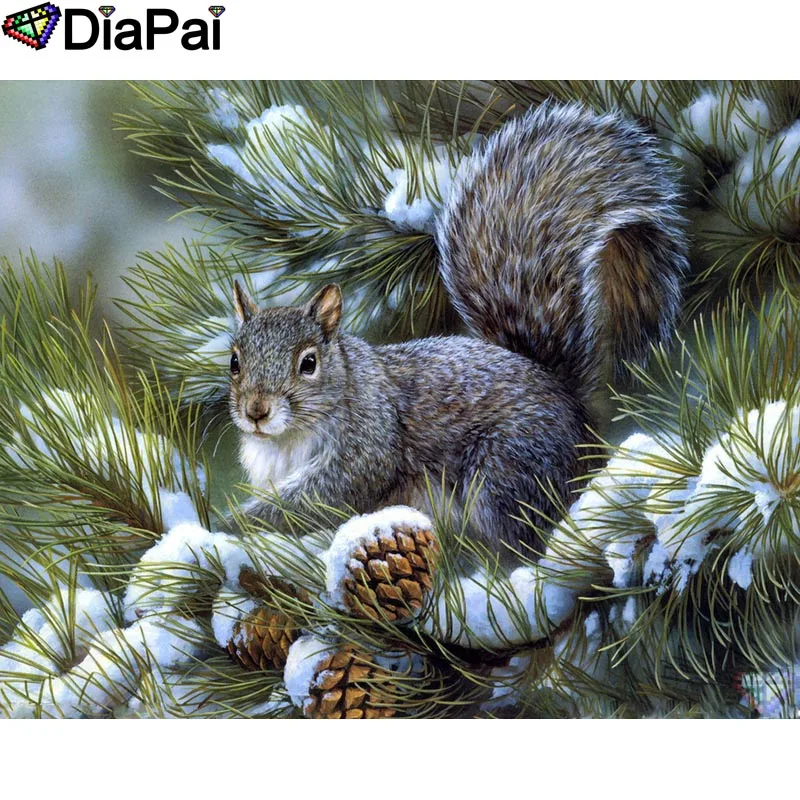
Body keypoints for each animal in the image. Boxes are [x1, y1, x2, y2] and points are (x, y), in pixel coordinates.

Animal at [228, 103, 688, 554]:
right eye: (234, 361)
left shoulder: (367, 443)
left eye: (308, 363)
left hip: (507, 469)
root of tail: (573, 410)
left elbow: (323, 496)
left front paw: (239, 522)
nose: (256, 411)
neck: (286, 439)